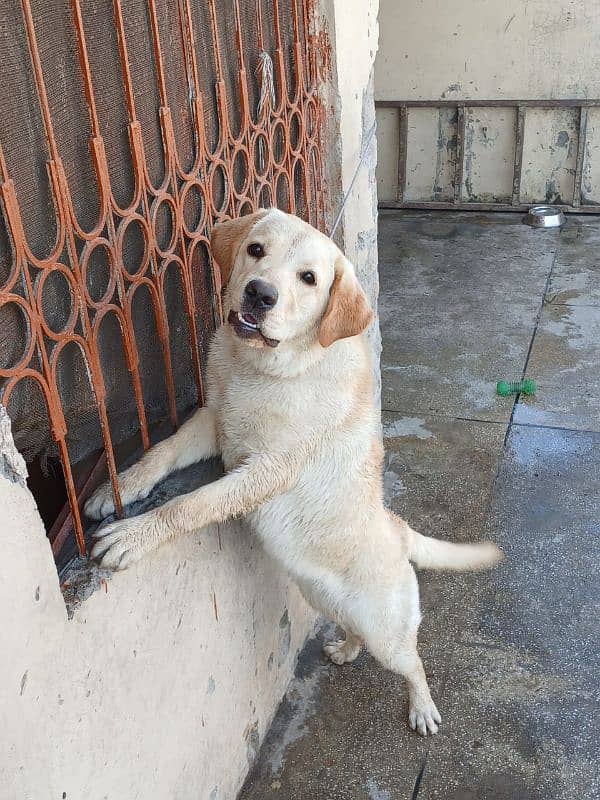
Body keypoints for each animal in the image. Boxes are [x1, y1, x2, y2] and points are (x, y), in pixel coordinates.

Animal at [88, 209, 502, 736]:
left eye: (309, 279)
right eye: (256, 250)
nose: (260, 294)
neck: (265, 368)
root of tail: (399, 529)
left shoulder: (266, 469)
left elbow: (191, 505)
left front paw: (134, 535)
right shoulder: (213, 422)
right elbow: (161, 452)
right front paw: (117, 488)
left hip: (387, 630)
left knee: (412, 662)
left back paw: (422, 708)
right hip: (322, 597)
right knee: (354, 632)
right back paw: (345, 649)